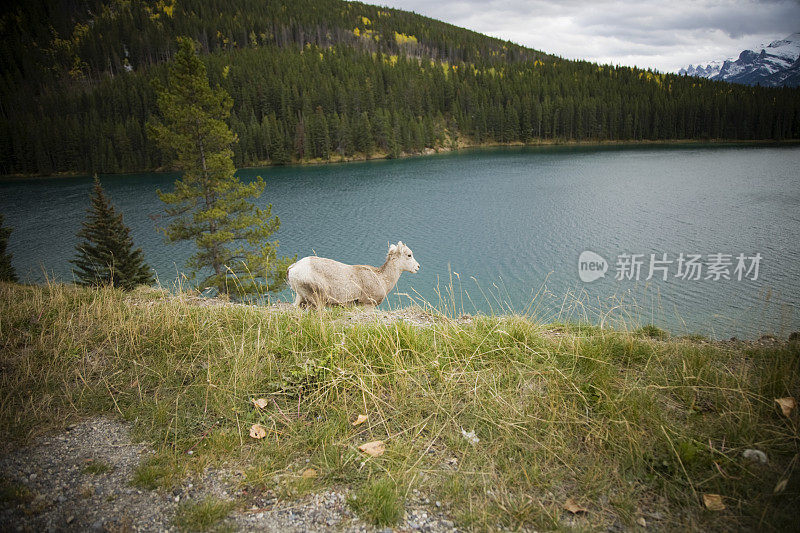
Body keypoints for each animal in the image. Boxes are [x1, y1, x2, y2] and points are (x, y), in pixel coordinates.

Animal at [290, 241, 424, 308]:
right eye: (409, 255)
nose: (418, 267)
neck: (381, 279)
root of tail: (293, 269)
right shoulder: (367, 305)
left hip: (300, 298)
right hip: (315, 301)